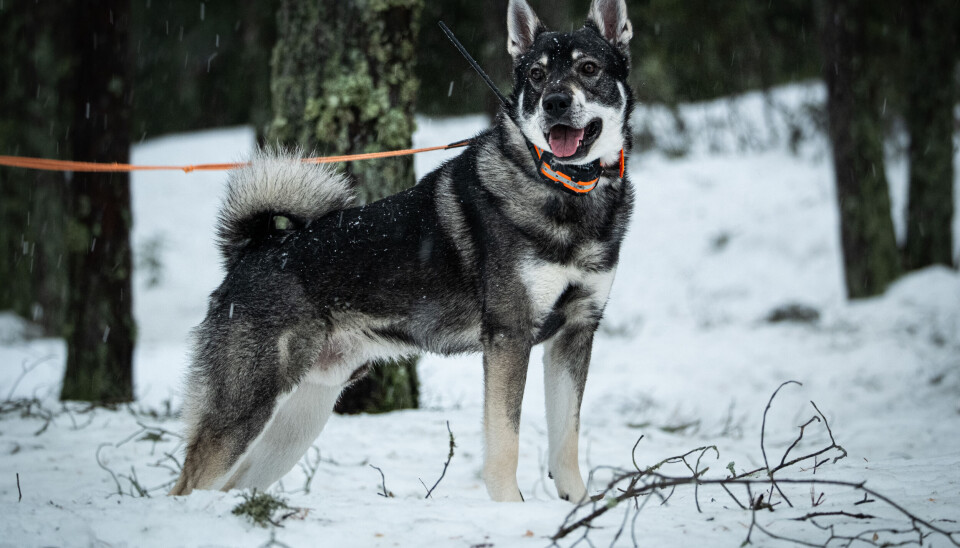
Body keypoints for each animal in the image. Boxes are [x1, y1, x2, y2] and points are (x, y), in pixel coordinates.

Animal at [171, 0, 636, 504]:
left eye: (588, 69)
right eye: (536, 75)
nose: (554, 102)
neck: (566, 192)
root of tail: (251, 251)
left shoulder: (575, 331)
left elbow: (566, 439)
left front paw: (577, 505)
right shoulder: (509, 337)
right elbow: (505, 442)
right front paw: (509, 509)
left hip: (294, 422)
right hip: (247, 405)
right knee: (188, 483)